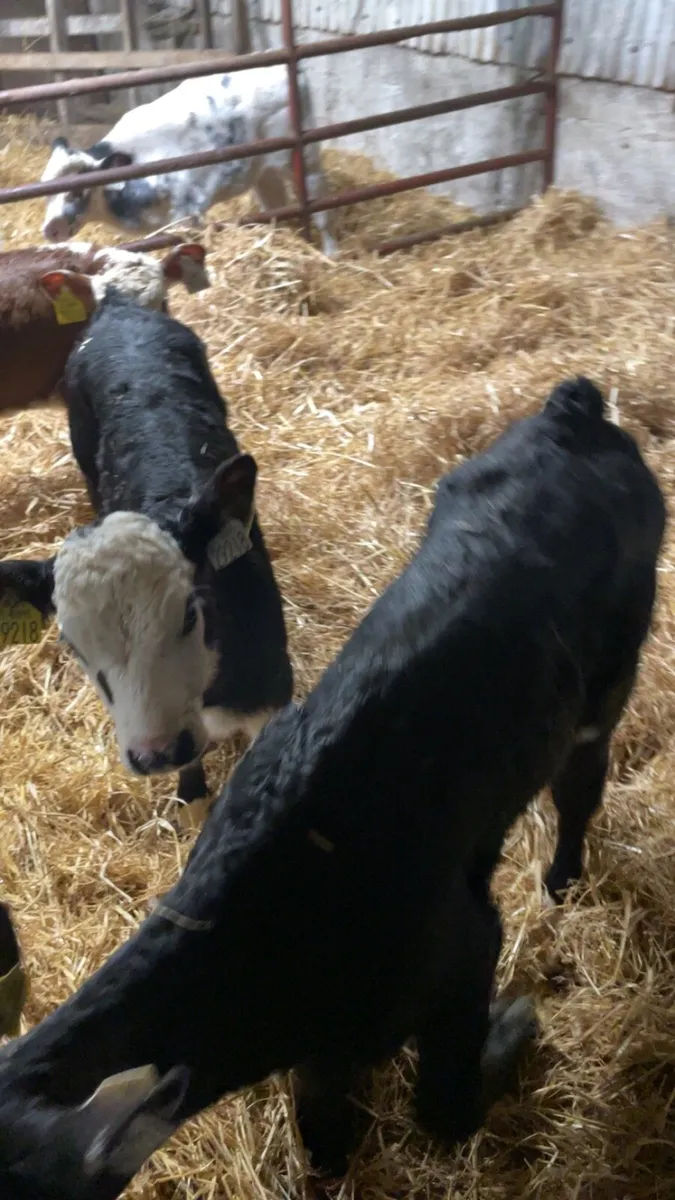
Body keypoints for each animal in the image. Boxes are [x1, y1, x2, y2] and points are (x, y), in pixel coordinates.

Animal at [0, 287, 293, 824]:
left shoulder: (274, 693)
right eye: (71, 643)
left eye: (189, 614)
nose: (157, 753)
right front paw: (192, 797)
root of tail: (120, 305)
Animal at [0, 377, 664, 1200]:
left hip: (607, 678)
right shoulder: (323, 1047)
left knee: (578, 783)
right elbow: (323, 1133)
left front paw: (514, 1030)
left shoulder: (464, 945)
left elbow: (443, 1105)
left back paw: (563, 879)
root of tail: (572, 412)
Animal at [40, 65, 337, 256]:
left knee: (321, 208)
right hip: (263, 171)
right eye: (46, 191)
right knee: (275, 206)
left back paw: (331, 253)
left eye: (79, 191)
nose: (50, 230)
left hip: (305, 158)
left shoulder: (187, 213)